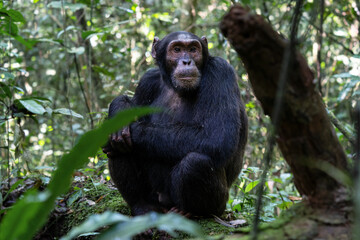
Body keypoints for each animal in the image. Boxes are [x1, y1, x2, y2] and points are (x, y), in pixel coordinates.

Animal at [102, 31, 246, 217]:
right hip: (154, 196)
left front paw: (129, 130)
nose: (187, 61)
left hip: (219, 204)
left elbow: (217, 136)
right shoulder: (147, 81)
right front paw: (118, 111)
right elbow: (132, 105)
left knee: (196, 162)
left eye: (193, 49)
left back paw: (190, 212)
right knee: (119, 150)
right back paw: (143, 206)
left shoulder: (221, 72)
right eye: (177, 49)